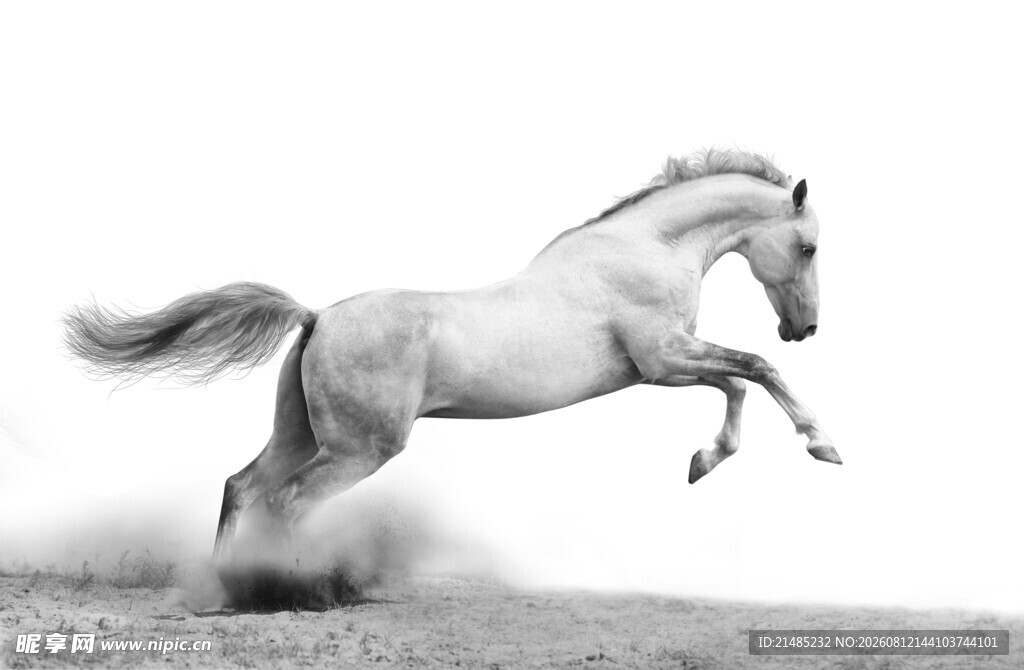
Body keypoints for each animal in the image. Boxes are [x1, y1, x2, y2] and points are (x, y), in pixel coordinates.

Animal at [62, 148, 840, 561]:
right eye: (808, 247)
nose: (803, 329)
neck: (645, 249)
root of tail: (317, 317)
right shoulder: (662, 361)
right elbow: (754, 372)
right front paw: (821, 445)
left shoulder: (667, 366)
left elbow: (740, 383)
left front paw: (702, 463)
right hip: (359, 449)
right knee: (286, 502)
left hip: (301, 434)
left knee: (242, 487)